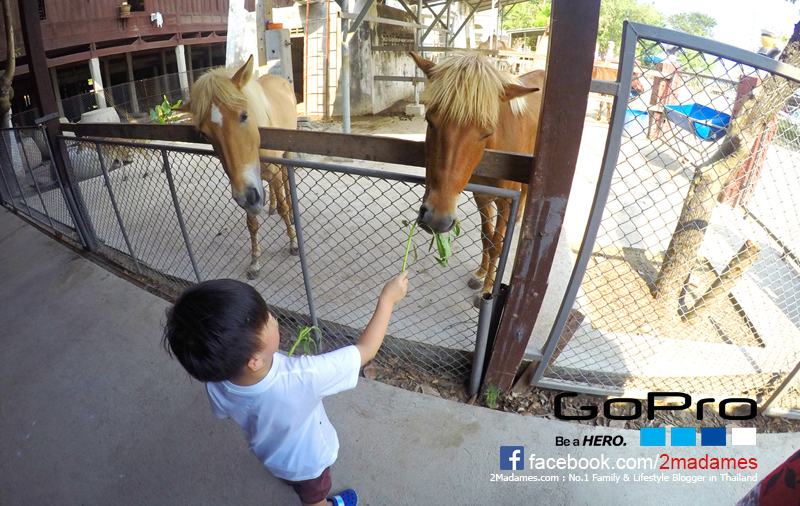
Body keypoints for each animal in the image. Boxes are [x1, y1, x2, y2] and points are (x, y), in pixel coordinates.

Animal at [176, 54, 299, 279]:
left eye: (243, 115)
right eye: (205, 134)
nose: (248, 198)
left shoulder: (268, 176)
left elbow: (284, 208)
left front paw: (294, 243)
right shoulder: (247, 186)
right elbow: (252, 224)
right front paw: (255, 262)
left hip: (287, 154)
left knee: (287, 180)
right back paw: (271, 206)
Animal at [410, 51, 542, 302]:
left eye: (486, 133)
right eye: (430, 121)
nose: (437, 220)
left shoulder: (506, 200)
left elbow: (498, 243)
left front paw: (488, 288)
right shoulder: (481, 195)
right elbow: (486, 238)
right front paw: (480, 273)